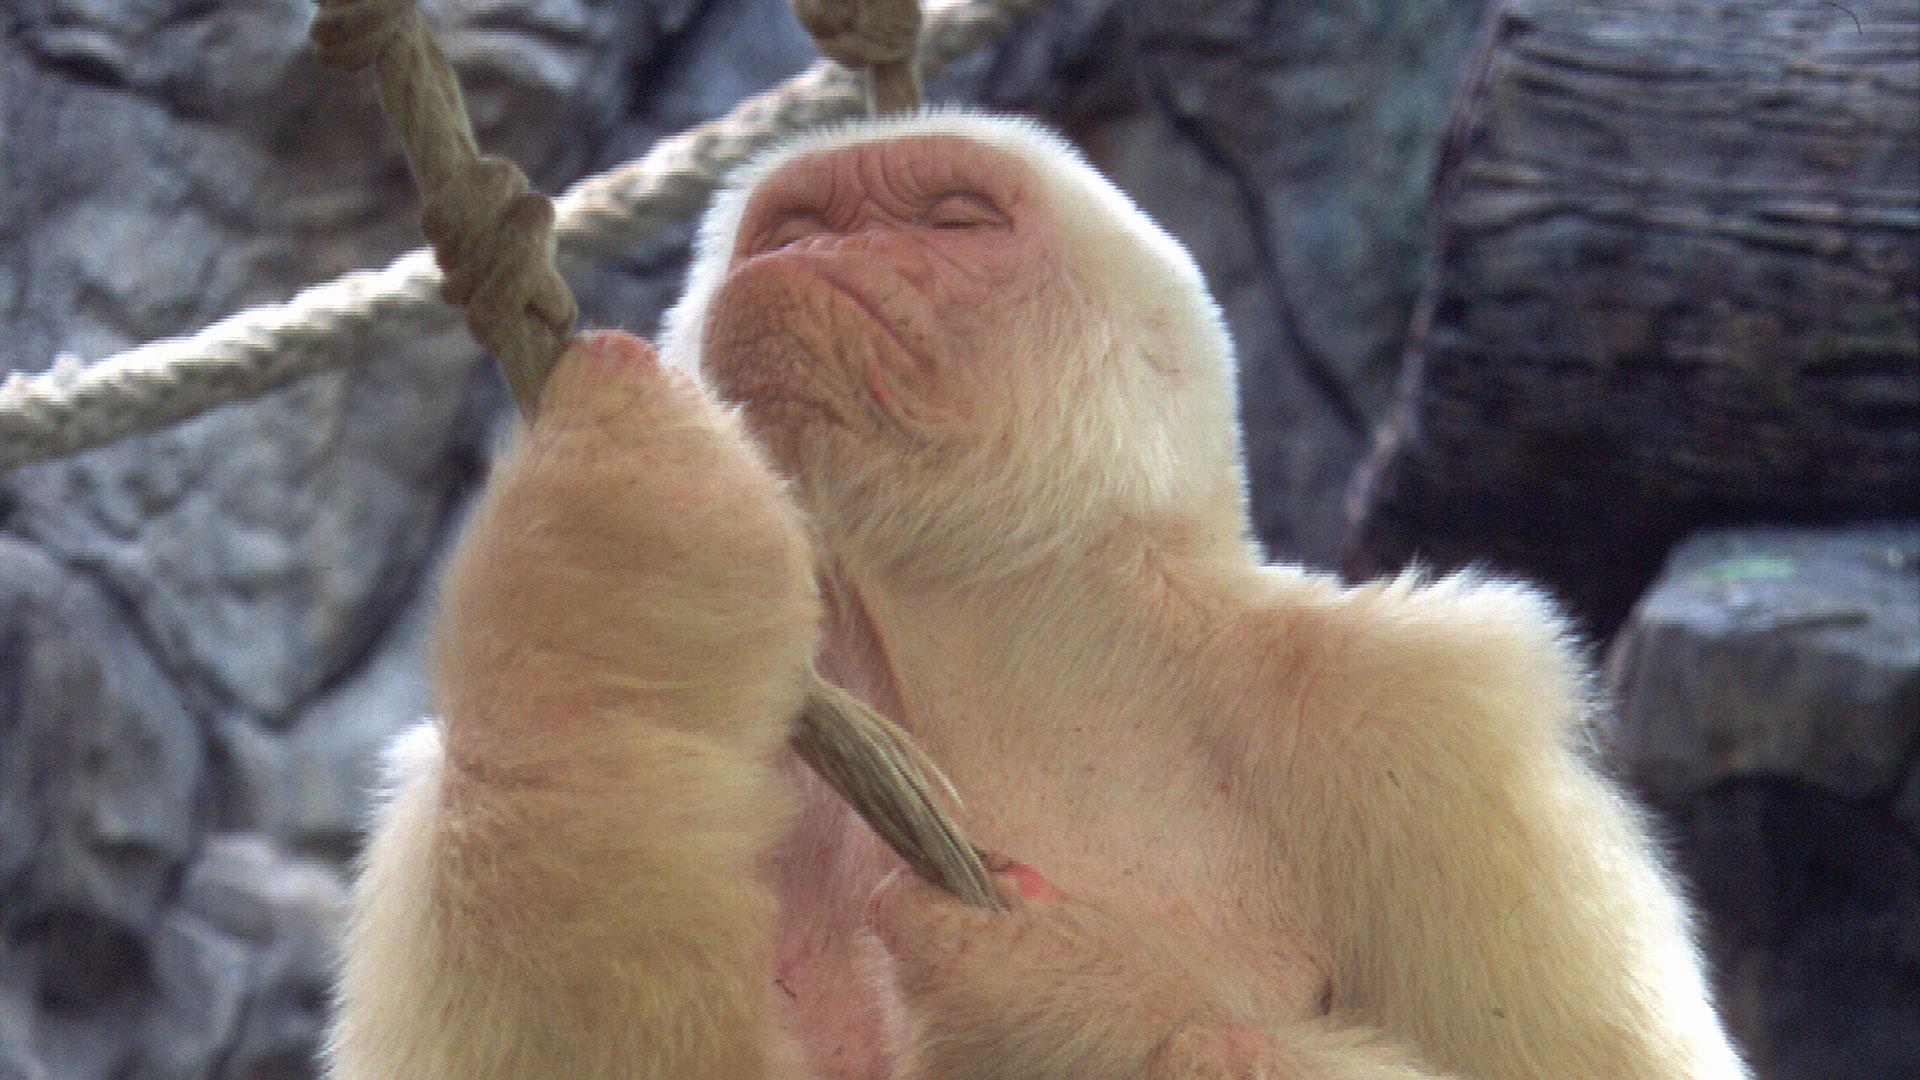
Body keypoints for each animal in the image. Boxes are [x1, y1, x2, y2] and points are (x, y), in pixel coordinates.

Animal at [326, 111, 1752, 1079]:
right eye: (792, 228)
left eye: (955, 219)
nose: (820, 246)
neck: (1001, 646)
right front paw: (611, 613)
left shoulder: (1419, 727)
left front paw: (1068, 1004)